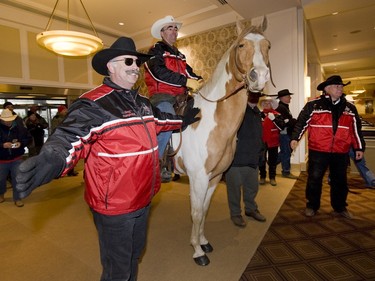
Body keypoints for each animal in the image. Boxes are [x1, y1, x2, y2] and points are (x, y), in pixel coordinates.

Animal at [171, 18, 274, 264]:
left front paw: (204, 242)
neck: (209, 120)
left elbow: (205, 210)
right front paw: (197, 251)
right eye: (241, 45)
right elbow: (196, 212)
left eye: (268, 45)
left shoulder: (215, 177)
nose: (260, 76)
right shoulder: (198, 178)